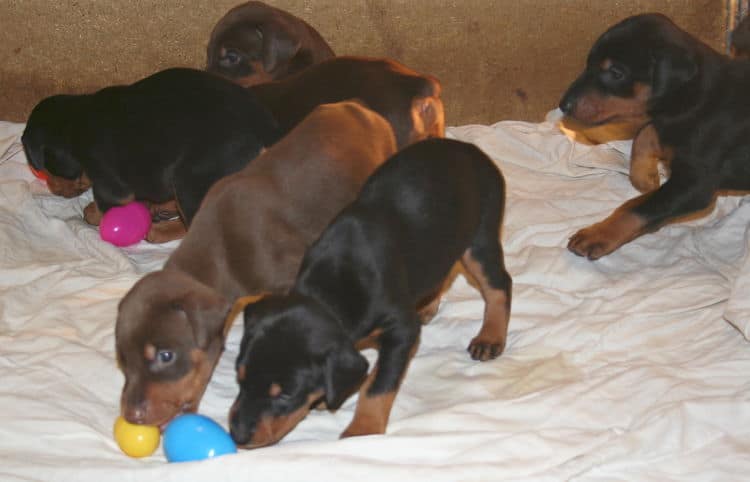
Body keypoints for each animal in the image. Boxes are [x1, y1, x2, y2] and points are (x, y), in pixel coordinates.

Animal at [21, 68, 280, 241]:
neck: (75, 123)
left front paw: (93, 213)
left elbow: (105, 205)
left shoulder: (110, 182)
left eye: (44, 168)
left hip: (190, 180)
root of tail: (262, 124)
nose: (52, 189)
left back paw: (159, 231)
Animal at [229, 138, 512, 448]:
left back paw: (490, 336)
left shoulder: (402, 331)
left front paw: (362, 430)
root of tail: (470, 148)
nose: (237, 436)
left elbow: (377, 386)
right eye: (239, 376)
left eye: (286, 393)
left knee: (499, 284)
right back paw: (427, 305)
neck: (333, 290)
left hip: (480, 237)